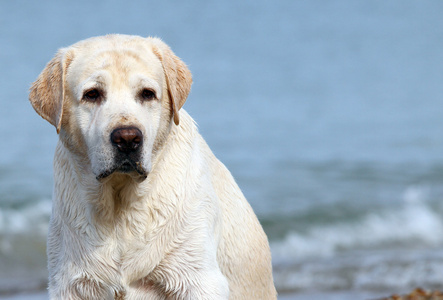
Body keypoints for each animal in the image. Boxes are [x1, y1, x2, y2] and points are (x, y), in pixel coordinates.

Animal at [28, 34, 278, 298]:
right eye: (92, 94)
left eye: (147, 94)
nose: (127, 138)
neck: (120, 211)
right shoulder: (71, 283)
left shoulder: (198, 279)